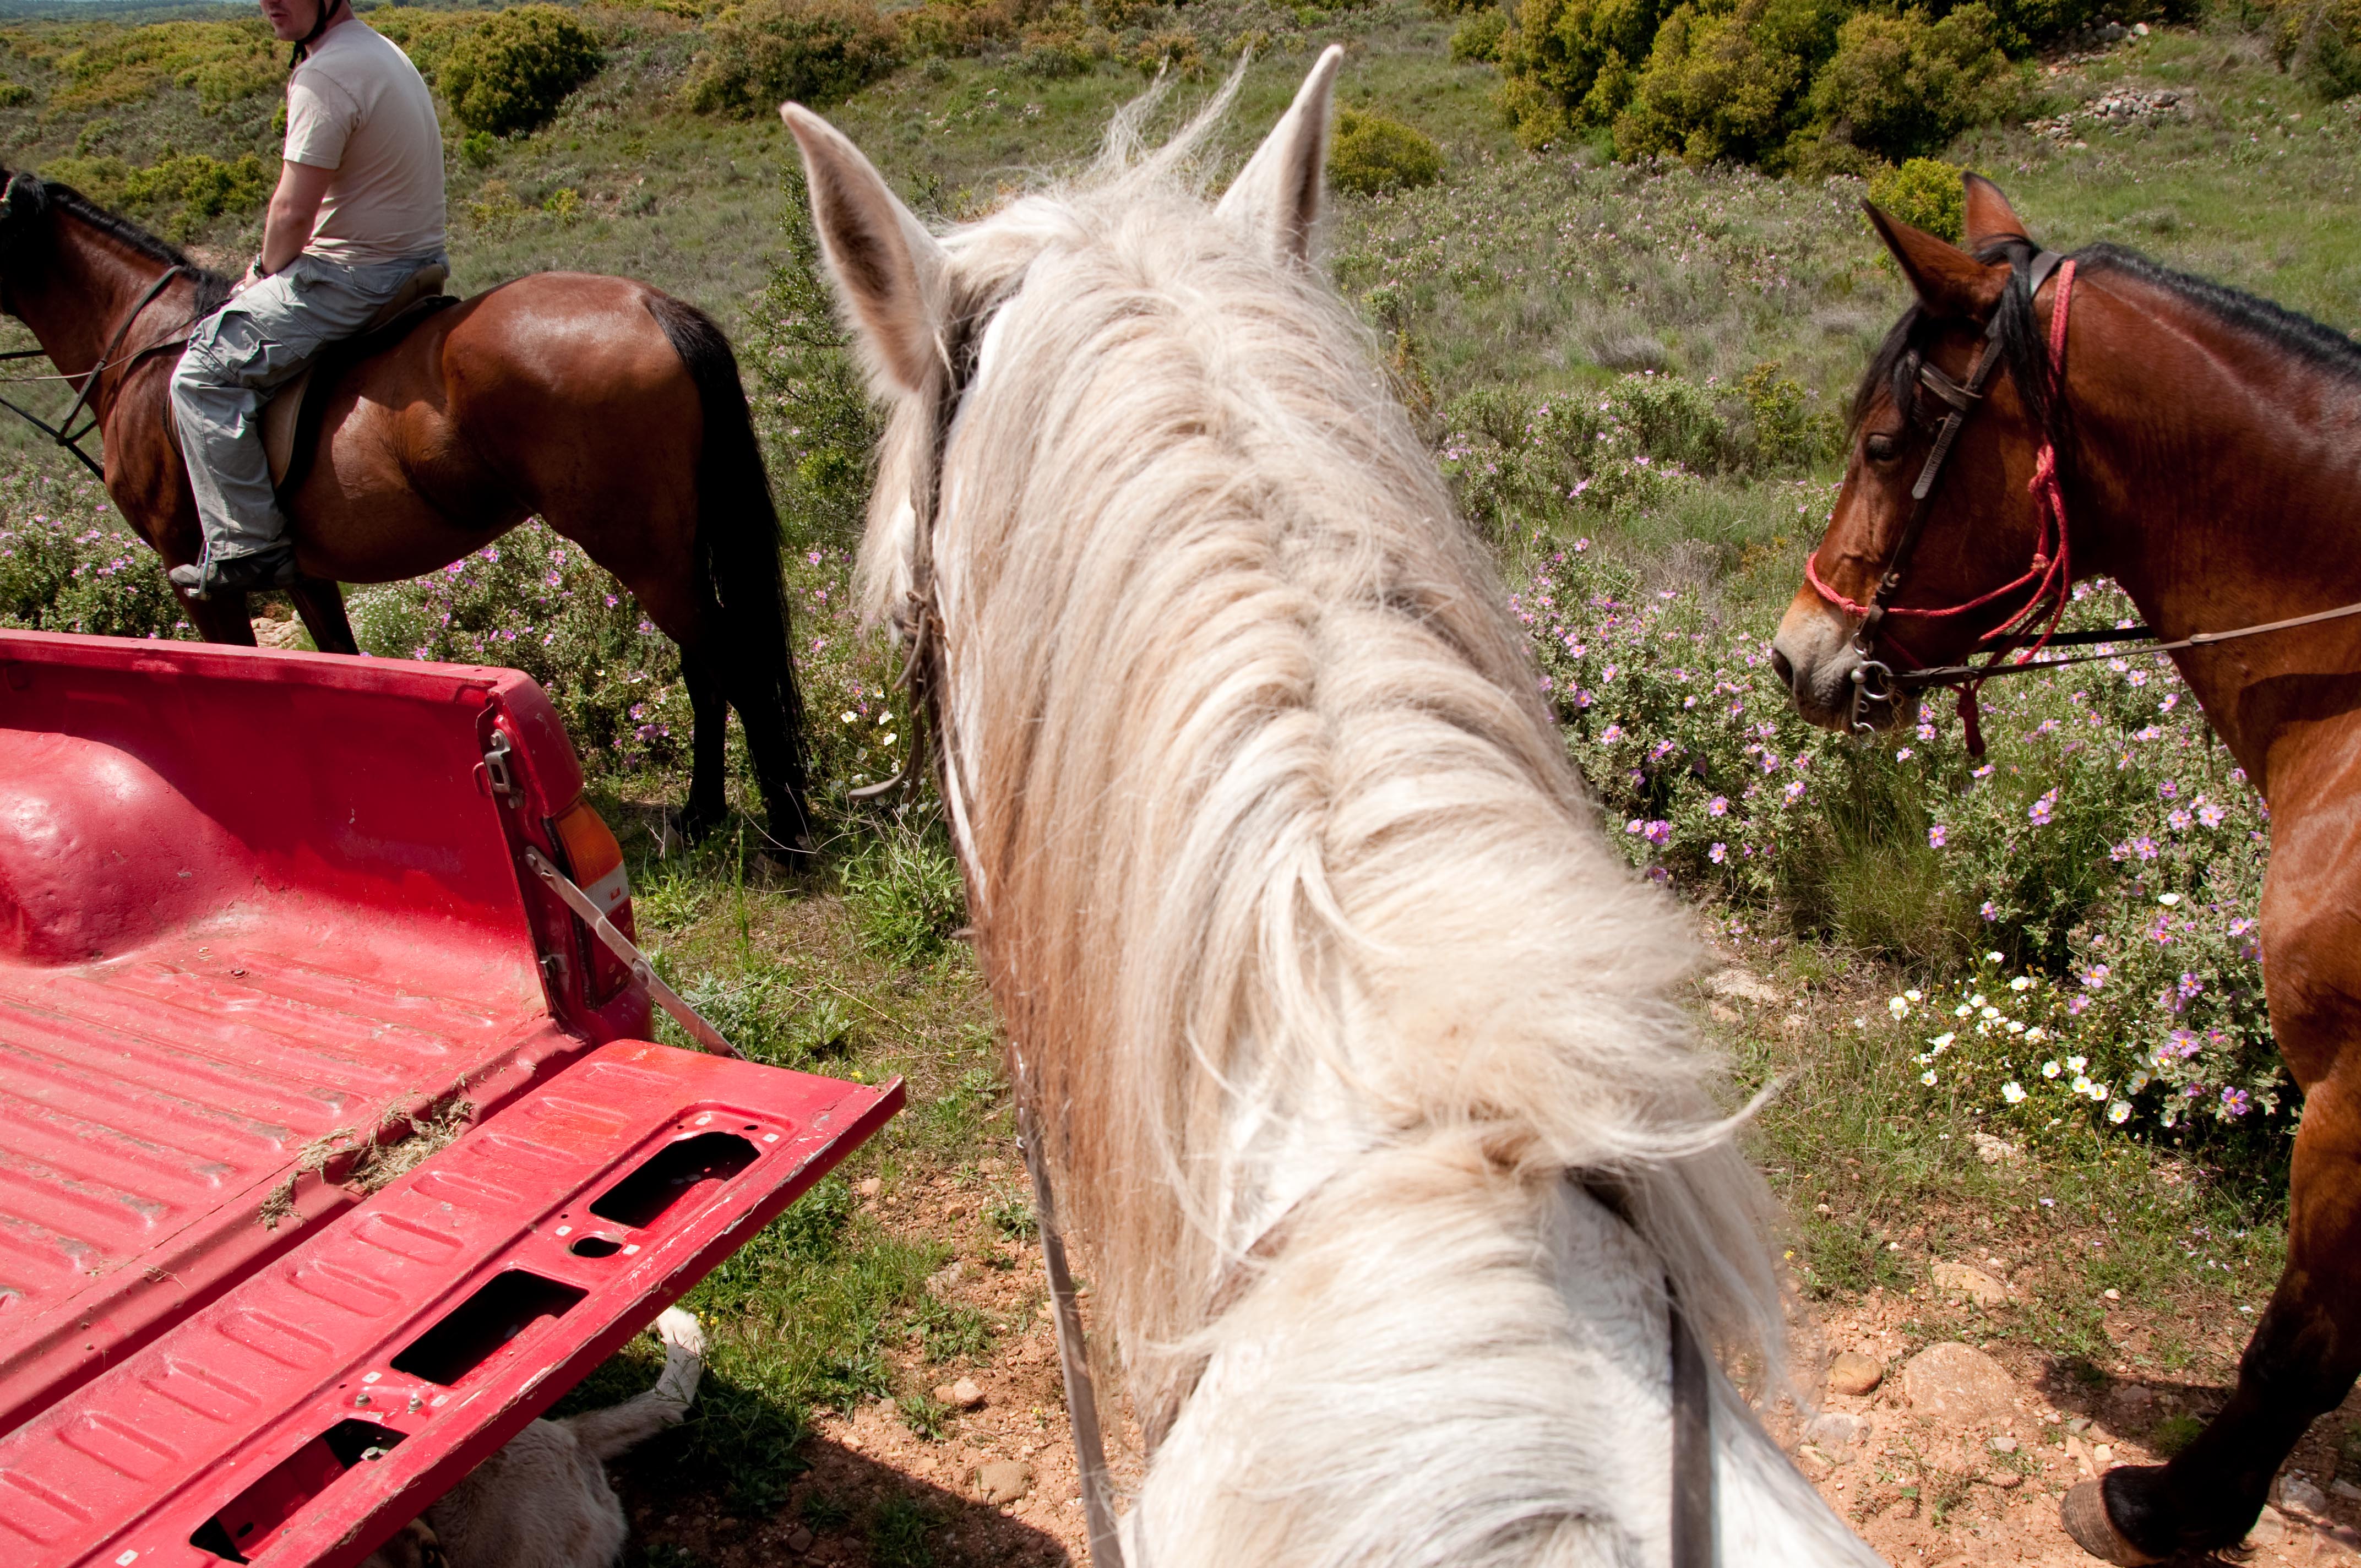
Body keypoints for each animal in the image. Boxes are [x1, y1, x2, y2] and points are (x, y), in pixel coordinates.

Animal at [0, 170, 812, 850]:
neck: (144, 351)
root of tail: (652, 304)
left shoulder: (194, 574)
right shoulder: (303, 571)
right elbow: (332, 667)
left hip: (640, 550)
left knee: (728, 661)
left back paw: (785, 826)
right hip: (672, 546)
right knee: (706, 666)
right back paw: (705, 812)